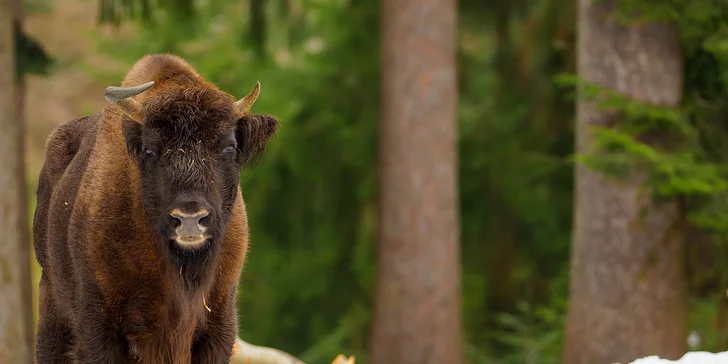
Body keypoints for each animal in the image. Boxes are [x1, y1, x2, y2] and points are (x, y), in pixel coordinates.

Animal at [30, 52, 278, 362]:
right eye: (150, 150)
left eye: (229, 147)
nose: (190, 219)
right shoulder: (98, 324)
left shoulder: (219, 323)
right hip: (52, 304)